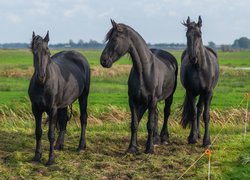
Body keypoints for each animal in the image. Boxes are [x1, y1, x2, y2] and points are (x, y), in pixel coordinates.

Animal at [28, 31, 90, 165]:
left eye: (47, 51)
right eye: (34, 52)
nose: (41, 76)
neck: (43, 85)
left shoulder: (52, 110)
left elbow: (51, 134)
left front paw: (51, 158)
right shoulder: (36, 109)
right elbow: (38, 132)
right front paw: (37, 156)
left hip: (83, 96)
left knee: (83, 118)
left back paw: (81, 146)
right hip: (64, 103)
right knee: (63, 120)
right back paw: (59, 145)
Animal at [100, 20, 178, 154]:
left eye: (115, 38)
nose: (103, 60)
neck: (144, 71)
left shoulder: (152, 100)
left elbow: (149, 124)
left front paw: (149, 149)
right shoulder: (134, 101)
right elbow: (135, 124)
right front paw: (132, 148)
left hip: (169, 96)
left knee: (166, 112)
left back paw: (164, 138)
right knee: (156, 114)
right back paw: (156, 138)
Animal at [181, 16, 220, 147]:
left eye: (199, 34)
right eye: (187, 35)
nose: (193, 57)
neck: (199, 67)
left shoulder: (208, 93)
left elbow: (206, 115)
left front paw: (206, 140)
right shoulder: (191, 92)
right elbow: (193, 113)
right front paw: (192, 137)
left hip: (203, 94)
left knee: (200, 110)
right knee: (196, 110)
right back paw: (195, 134)